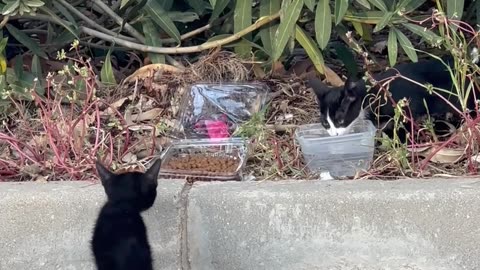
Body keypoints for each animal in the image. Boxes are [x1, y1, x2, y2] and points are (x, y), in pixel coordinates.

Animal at [308, 55, 476, 141]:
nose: (334, 135)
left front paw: (401, 141)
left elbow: (405, 123)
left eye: (340, 120)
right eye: (325, 123)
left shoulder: (405, 105)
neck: (368, 97)